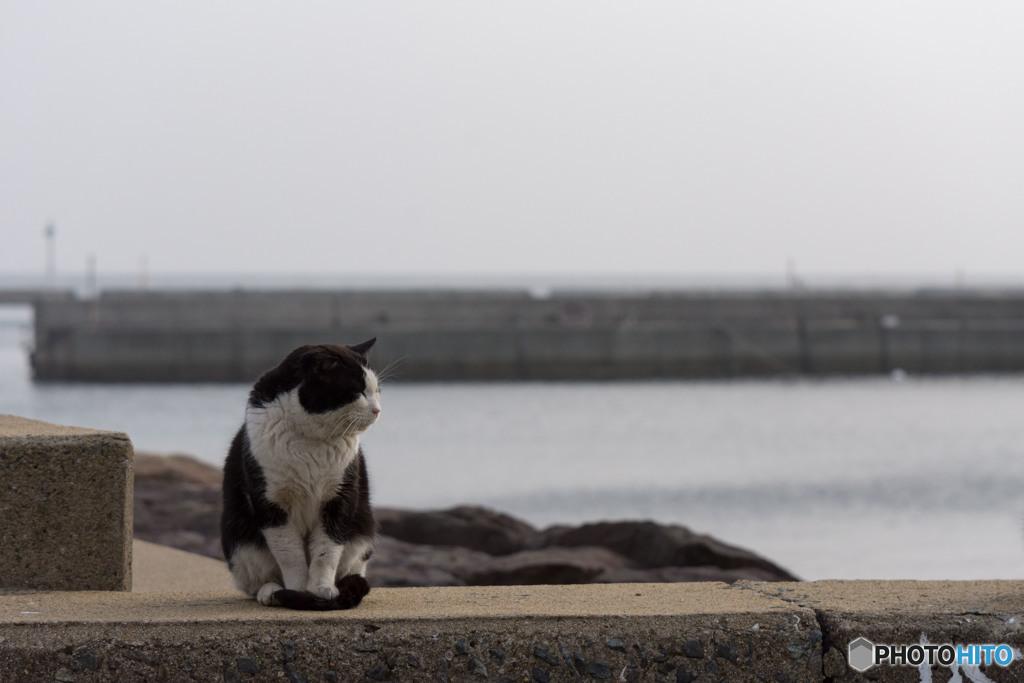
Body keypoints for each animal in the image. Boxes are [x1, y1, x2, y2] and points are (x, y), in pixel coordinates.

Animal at [219, 339, 380, 610]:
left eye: (377, 390)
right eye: (357, 391)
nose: (378, 410)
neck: (311, 440)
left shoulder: (341, 499)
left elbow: (326, 551)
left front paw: (321, 589)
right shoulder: (271, 504)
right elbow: (290, 554)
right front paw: (298, 589)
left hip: (362, 531)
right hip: (238, 538)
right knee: (257, 581)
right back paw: (272, 592)